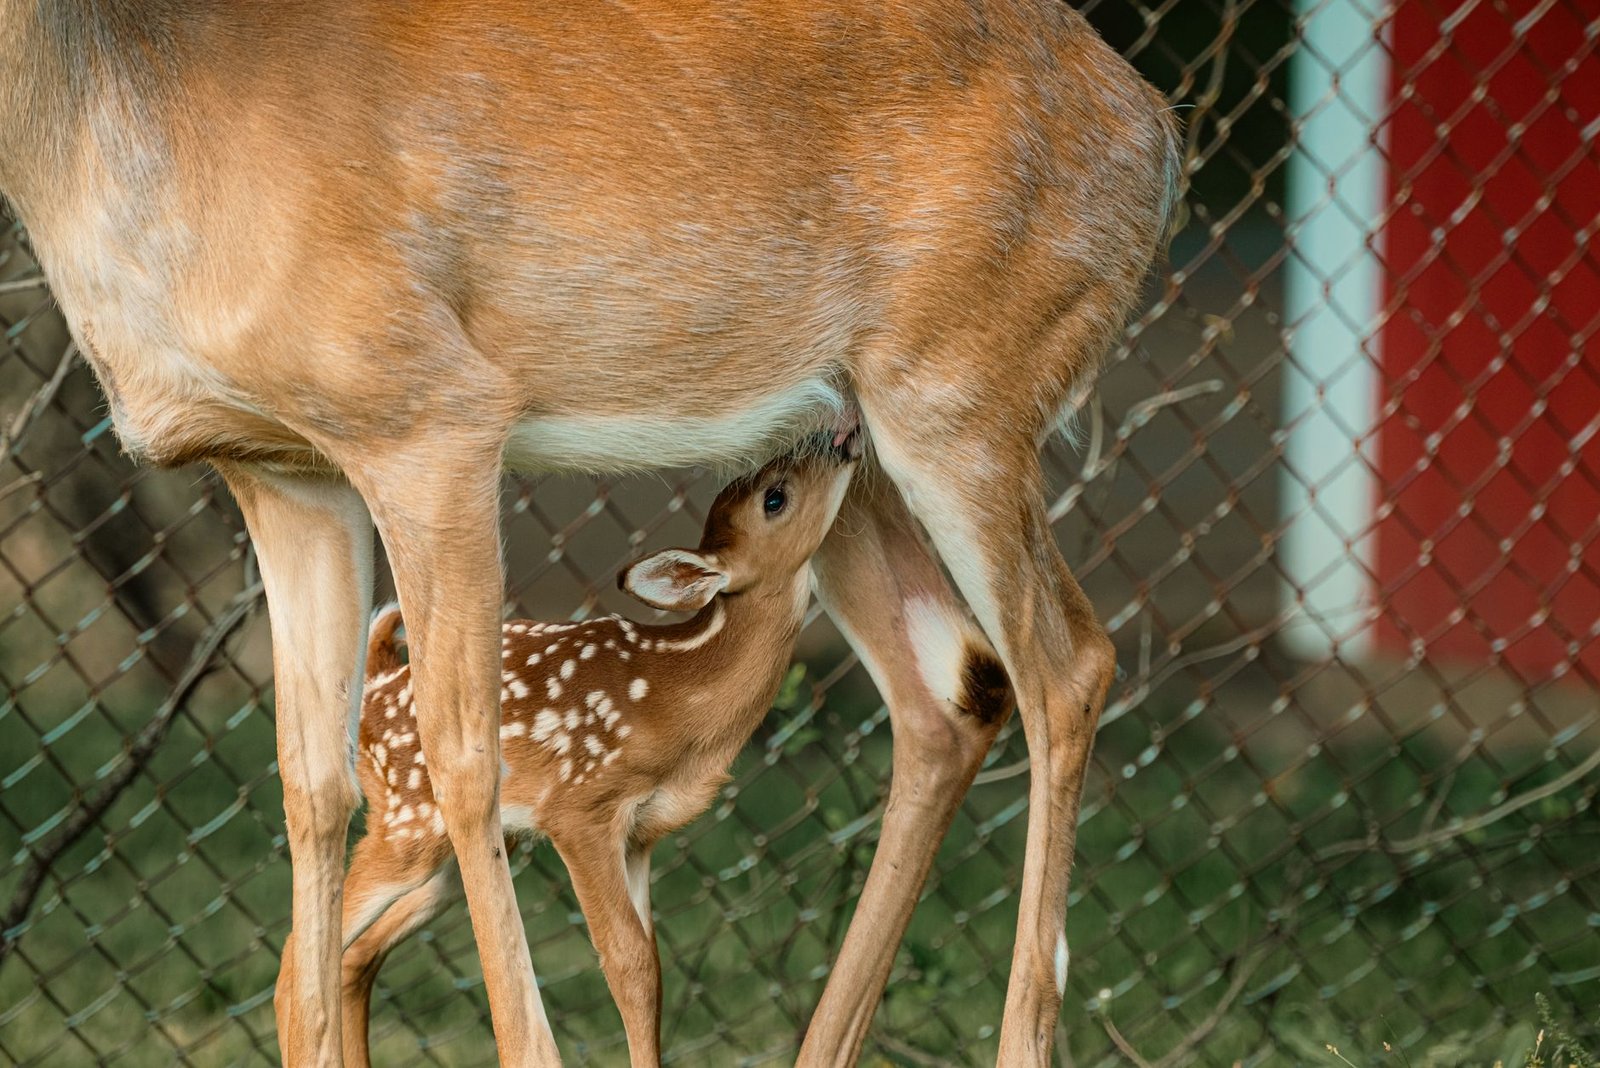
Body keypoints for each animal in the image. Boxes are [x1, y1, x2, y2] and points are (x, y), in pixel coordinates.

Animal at [326, 432, 865, 1066]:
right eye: (774, 497)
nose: (843, 440)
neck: (677, 699)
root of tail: (377, 681)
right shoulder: (581, 807)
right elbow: (627, 965)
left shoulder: (641, 835)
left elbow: (651, 972)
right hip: (409, 819)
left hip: (454, 856)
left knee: (357, 953)